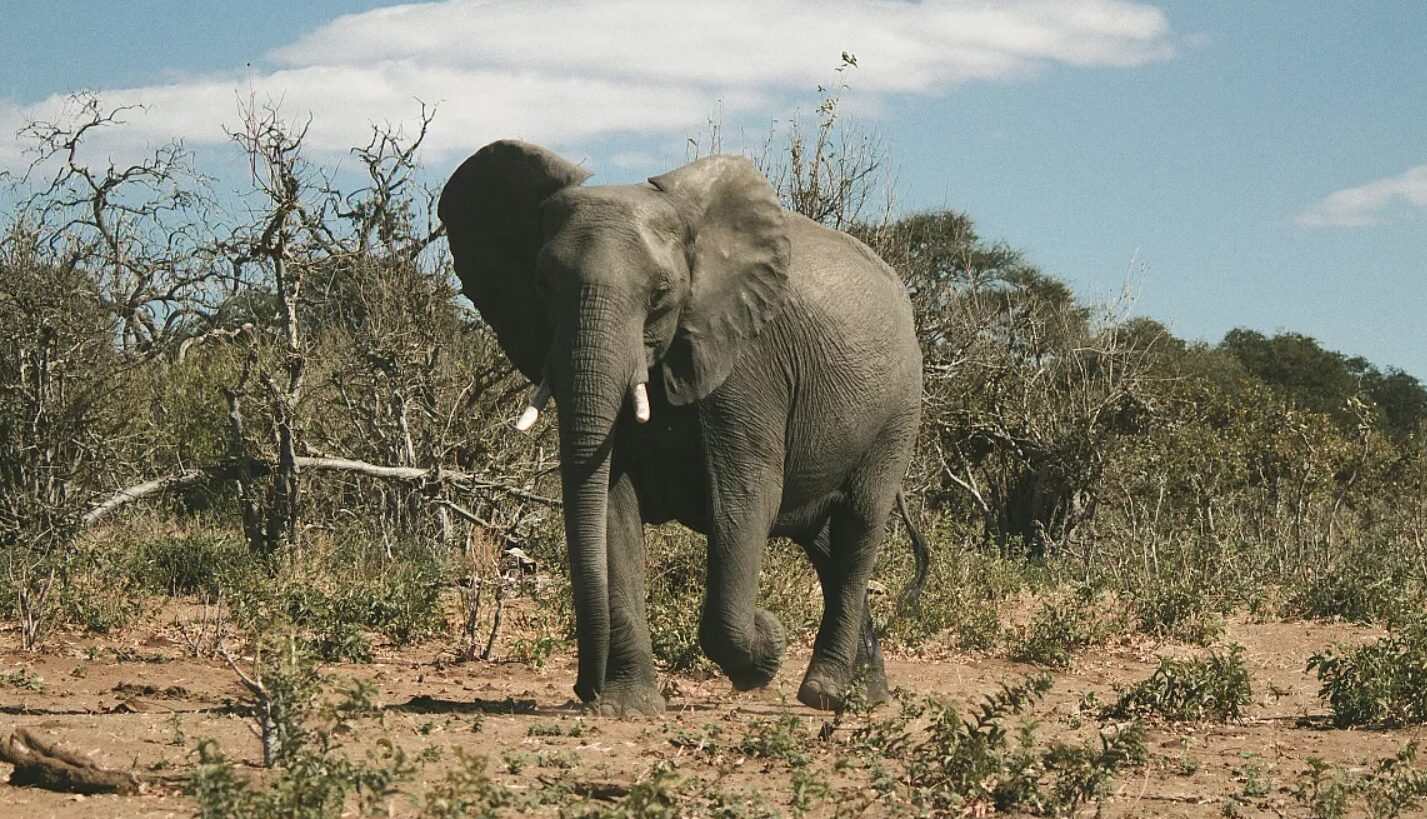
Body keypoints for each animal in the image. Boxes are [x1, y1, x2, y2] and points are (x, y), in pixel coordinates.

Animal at [436, 142, 924, 719]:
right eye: (542, 284)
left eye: (662, 294)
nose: (582, 688)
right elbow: (611, 506)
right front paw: (627, 708)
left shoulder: (746, 366)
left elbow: (745, 501)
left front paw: (764, 649)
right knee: (823, 540)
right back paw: (866, 695)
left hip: (900, 408)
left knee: (858, 525)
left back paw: (823, 693)